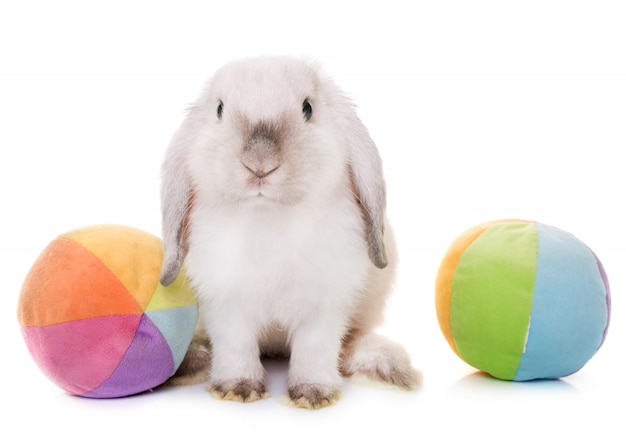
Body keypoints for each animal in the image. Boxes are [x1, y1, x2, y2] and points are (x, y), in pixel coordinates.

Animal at [160, 55, 420, 408]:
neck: (267, 215)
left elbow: (315, 349)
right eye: (219, 110)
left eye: (307, 108)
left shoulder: (323, 306)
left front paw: (313, 394)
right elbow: (235, 346)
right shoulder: (227, 305)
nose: (259, 163)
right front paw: (237, 388)